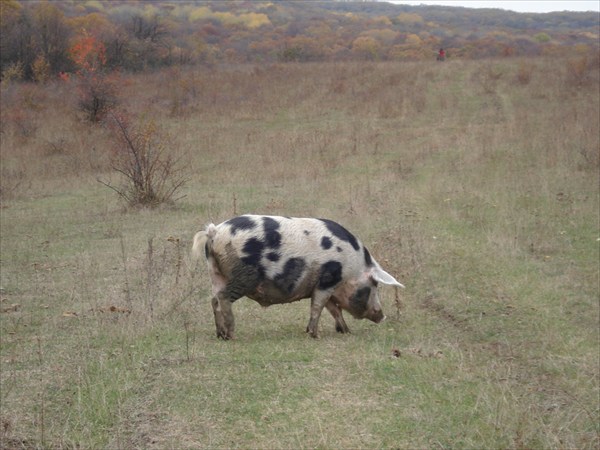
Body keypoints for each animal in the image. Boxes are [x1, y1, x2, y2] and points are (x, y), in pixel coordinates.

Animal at [192, 214, 404, 338]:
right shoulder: (328, 280)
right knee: (223, 298)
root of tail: (214, 232)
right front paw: (314, 335)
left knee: (214, 299)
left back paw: (220, 334)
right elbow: (318, 307)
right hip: (244, 275)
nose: (382, 316)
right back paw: (231, 334)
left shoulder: (324, 286)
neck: (352, 269)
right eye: (374, 285)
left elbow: (333, 309)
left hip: (215, 272)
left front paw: (345, 331)